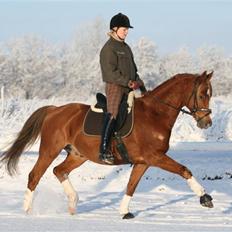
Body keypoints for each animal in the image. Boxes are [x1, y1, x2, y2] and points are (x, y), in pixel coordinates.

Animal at [0, 70, 214, 218]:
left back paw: (73, 203)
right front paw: (205, 198)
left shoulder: (143, 162)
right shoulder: (155, 157)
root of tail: (54, 110)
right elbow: (184, 170)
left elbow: (131, 186)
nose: (206, 123)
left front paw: (124, 212)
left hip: (78, 155)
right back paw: (28, 211)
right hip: (49, 150)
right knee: (35, 175)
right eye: (202, 94)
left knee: (59, 171)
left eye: (210, 94)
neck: (155, 114)